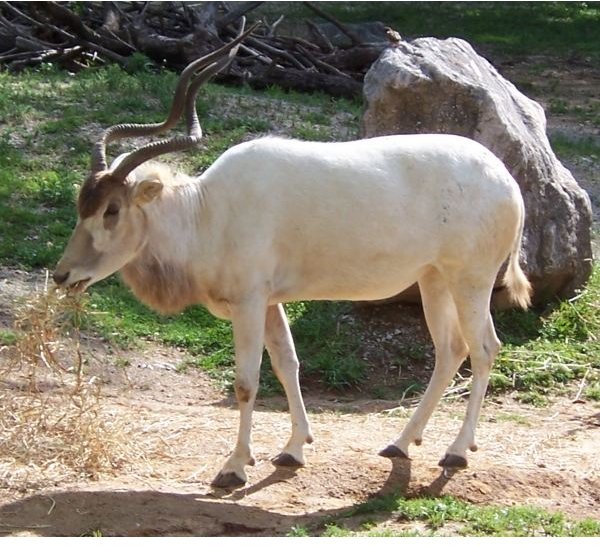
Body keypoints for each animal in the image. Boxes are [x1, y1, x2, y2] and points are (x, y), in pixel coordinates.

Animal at [51, 21, 528, 486]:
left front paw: (234, 467)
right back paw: (401, 442)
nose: (62, 275)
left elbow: (246, 381)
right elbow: (287, 363)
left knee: (484, 347)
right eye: (82, 205)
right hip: (434, 279)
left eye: (112, 210)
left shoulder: (248, 302)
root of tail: (508, 182)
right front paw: (294, 448)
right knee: (451, 350)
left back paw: (456, 451)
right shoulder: (270, 302)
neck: (208, 212)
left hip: (470, 280)